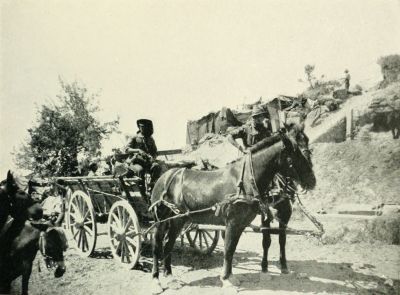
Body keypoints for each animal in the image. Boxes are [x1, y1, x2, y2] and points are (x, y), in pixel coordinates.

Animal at [149, 125, 316, 294]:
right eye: (294, 156)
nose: (312, 181)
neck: (245, 181)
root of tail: (164, 176)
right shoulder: (232, 223)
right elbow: (228, 250)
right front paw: (226, 280)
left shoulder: (240, 224)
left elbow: (233, 249)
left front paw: (230, 277)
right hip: (161, 221)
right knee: (157, 246)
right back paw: (156, 279)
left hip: (178, 220)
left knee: (168, 244)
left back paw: (170, 277)